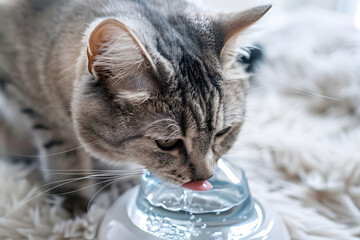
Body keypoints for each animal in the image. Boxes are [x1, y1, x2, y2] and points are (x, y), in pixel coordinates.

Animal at [0, 0, 270, 213]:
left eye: (223, 132)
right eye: (167, 143)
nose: (205, 177)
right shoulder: (30, 100)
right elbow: (65, 150)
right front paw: (73, 195)